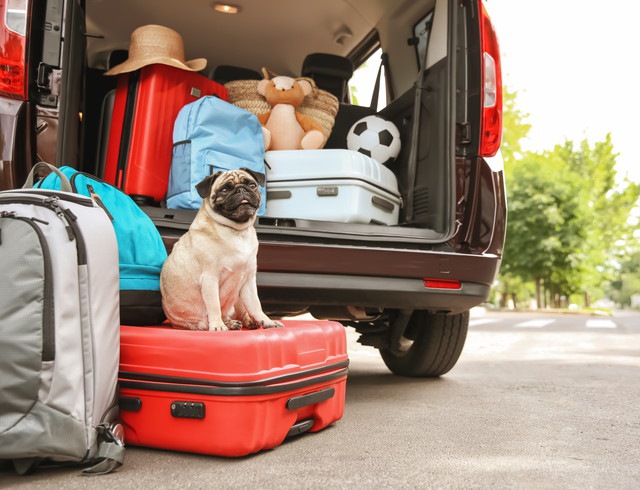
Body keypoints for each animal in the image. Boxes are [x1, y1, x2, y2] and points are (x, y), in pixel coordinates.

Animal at [159, 167, 282, 332]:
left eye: (251, 185)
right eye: (224, 190)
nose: (241, 189)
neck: (237, 231)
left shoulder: (248, 281)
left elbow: (256, 305)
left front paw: (267, 321)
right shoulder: (210, 279)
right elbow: (214, 305)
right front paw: (217, 325)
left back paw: (246, 322)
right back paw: (226, 324)